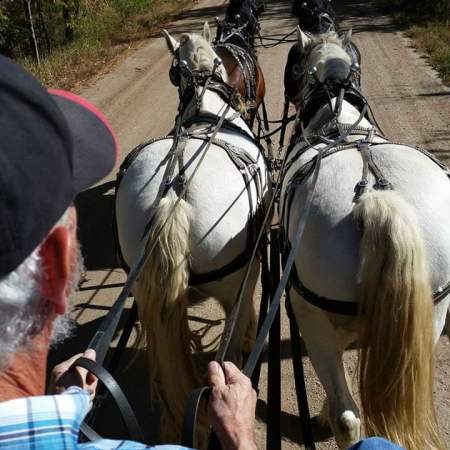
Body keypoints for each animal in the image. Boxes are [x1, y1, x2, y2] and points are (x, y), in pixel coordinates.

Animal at [282, 28, 450, 450]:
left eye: (294, 67)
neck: (338, 122)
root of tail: (377, 197)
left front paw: (322, 413)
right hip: (430, 317)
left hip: (313, 320)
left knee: (348, 417)